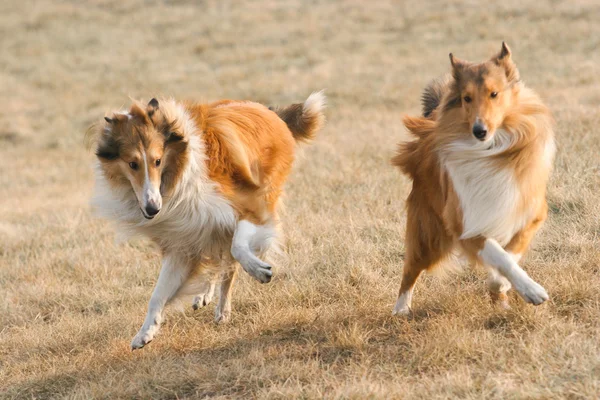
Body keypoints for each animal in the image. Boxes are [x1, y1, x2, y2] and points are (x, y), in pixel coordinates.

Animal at [89, 92, 326, 348]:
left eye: (157, 161)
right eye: (132, 164)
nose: (153, 209)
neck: (180, 173)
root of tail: (269, 111)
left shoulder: (251, 207)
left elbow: (238, 248)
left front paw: (259, 270)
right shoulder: (184, 238)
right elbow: (158, 294)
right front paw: (145, 332)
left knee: (230, 261)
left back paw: (223, 310)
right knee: (219, 261)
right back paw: (206, 295)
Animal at [392, 42, 556, 314]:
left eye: (494, 94)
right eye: (467, 98)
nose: (479, 131)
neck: (491, 150)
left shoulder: (529, 213)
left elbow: (510, 254)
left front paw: (503, 285)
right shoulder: (464, 224)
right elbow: (499, 255)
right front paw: (532, 290)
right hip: (429, 234)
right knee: (411, 269)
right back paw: (401, 309)